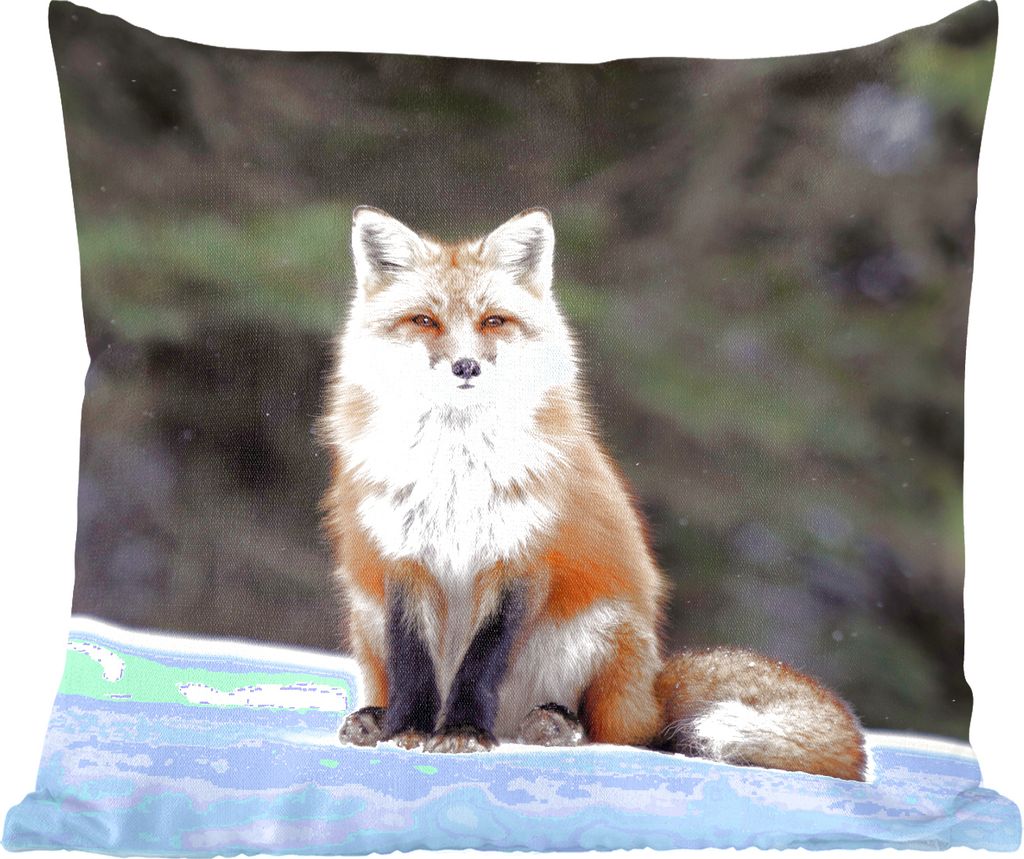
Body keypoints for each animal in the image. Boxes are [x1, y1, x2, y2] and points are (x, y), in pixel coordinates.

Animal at [320, 205, 866, 780]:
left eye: (493, 321)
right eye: (425, 320)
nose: (466, 367)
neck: (457, 472)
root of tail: (652, 685)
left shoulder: (521, 556)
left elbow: (483, 661)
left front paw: (463, 731)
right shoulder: (401, 556)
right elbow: (413, 661)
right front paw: (407, 730)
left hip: (597, 630)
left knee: (621, 732)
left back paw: (556, 724)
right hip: (365, 617)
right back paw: (374, 718)